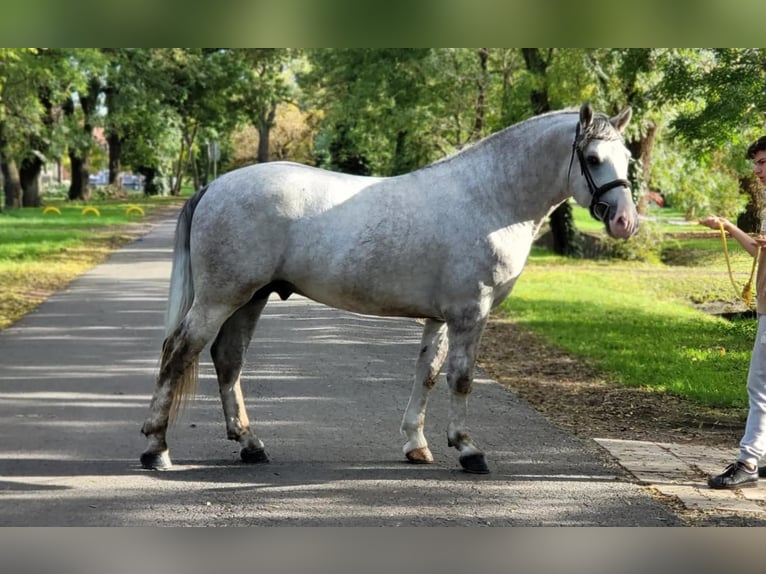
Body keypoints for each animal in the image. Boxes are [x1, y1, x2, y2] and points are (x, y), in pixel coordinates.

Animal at [141, 103, 640, 476]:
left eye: (628, 160)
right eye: (593, 159)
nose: (624, 222)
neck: (489, 199)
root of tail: (216, 184)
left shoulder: (441, 318)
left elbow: (428, 374)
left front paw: (417, 445)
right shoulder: (470, 313)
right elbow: (461, 378)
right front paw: (468, 449)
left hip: (251, 298)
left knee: (228, 359)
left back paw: (250, 444)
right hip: (220, 298)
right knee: (179, 351)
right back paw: (156, 448)